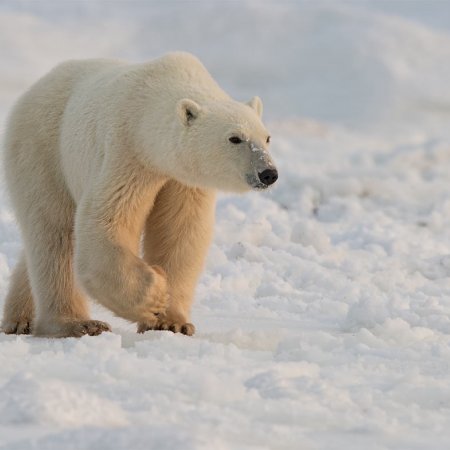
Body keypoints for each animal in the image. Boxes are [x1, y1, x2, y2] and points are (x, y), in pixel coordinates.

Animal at [0, 51, 278, 336]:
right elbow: (106, 220)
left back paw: (20, 319)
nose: (268, 173)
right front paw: (154, 296)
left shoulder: (182, 179)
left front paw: (172, 322)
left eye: (267, 138)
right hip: (43, 149)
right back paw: (77, 323)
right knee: (56, 232)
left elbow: (180, 231)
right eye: (235, 138)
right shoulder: (129, 152)